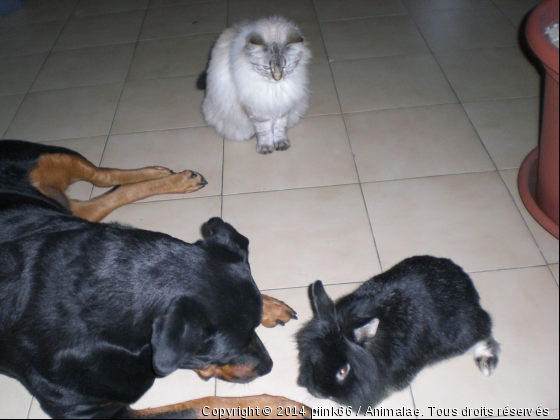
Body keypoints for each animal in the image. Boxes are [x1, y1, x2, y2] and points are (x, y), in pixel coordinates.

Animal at [0, 140, 306, 416]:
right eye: (220, 354)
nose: (268, 366)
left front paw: (269, 306)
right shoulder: (92, 412)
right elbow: (204, 404)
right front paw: (280, 406)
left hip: (53, 162)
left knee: (102, 176)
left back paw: (168, 176)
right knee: (93, 196)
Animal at [200, 16, 310, 155]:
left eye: (285, 66)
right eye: (266, 67)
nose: (277, 78)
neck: (273, 88)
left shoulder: (282, 107)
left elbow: (279, 129)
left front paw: (280, 143)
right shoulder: (258, 111)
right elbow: (264, 132)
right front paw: (265, 147)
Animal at [296, 256, 500, 406]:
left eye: (344, 370)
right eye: (313, 358)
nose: (318, 392)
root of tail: (467, 283)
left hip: (462, 334)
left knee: (485, 330)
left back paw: (486, 363)